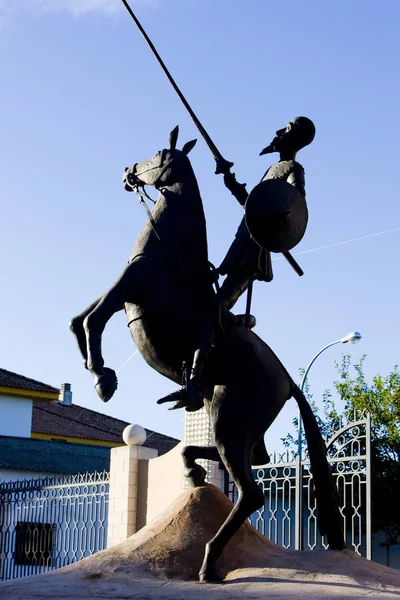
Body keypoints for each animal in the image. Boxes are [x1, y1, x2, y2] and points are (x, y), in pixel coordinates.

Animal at [69, 125, 344, 580]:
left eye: (158, 154)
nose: (128, 172)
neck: (168, 251)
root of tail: (288, 380)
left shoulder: (128, 287)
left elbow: (91, 322)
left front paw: (102, 379)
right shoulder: (119, 290)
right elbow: (78, 320)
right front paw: (96, 371)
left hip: (232, 419)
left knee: (251, 492)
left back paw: (209, 562)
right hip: (230, 416)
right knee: (251, 457)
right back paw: (194, 467)